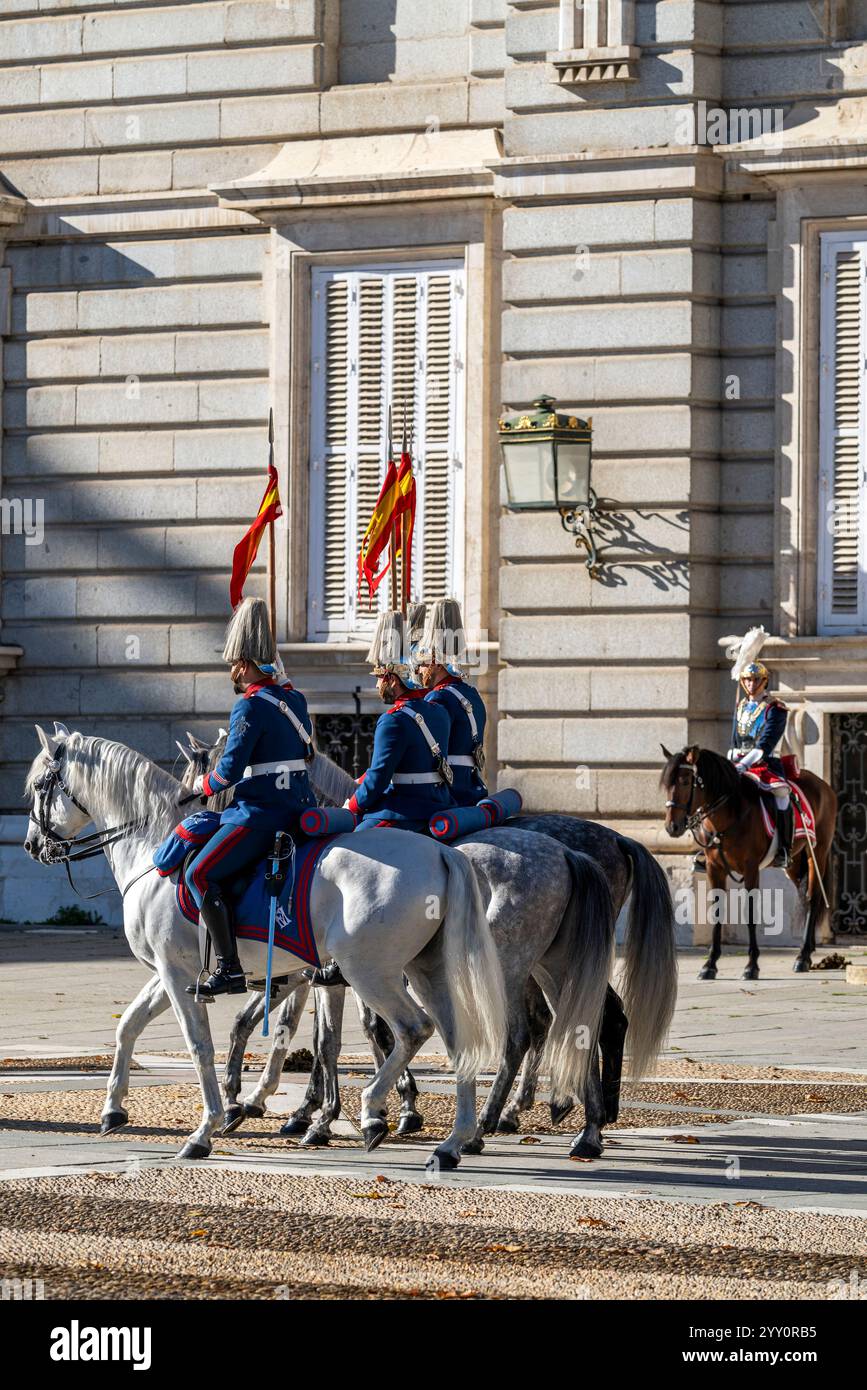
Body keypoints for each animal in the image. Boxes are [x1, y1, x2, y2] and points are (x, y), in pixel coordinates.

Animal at [23, 728, 505, 1173]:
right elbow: (128, 1027)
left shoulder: (180, 976)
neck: (153, 852)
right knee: (456, 1039)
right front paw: (113, 1110)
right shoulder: (171, 973)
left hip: (370, 972)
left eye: (39, 785)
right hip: (424, 971)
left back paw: (375, 1110)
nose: (31, 846)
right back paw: (452, 1143)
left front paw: (206, 1129)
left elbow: (201, 1047)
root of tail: (440, 851)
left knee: (412, 1029)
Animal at [661, 750, 839, 978]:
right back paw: (808, 950)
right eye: (667, 784)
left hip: (816, 853)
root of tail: (824, 785)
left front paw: (751, 965)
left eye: (684, 781)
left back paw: (802, 957)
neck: (729, 814)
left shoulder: (751, 868)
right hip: (793, 864)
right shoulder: (714, 869)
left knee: (813, 898)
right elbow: (717, 911)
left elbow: (751, 913)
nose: (672, 827)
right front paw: (710, 964)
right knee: (806, 895)